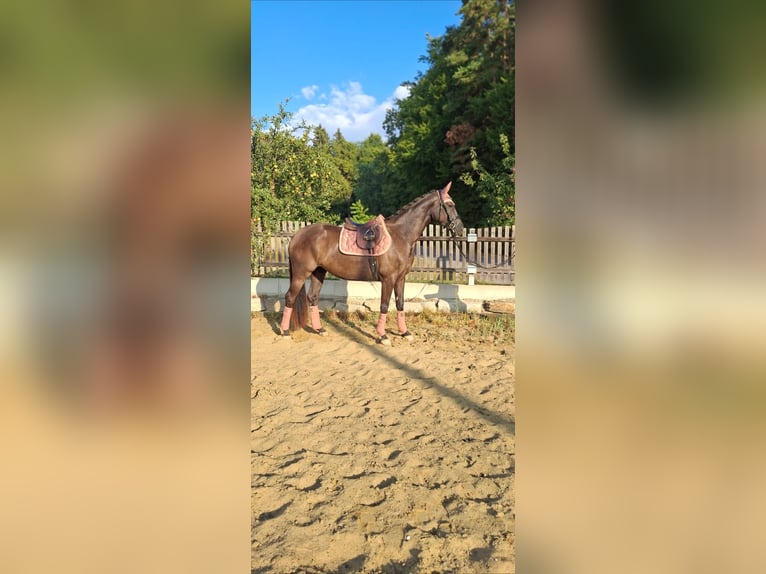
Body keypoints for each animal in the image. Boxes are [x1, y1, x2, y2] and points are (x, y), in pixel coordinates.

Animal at [279, 181, 465, 344]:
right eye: (450, 205)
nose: (460, 229)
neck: (400, 236)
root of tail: (297, 235)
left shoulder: (400, 279)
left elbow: (400, 304)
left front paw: (405, 333)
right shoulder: (388, 279)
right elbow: (384, 305)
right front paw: (382, 336)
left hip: (318, 272)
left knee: (312, 297)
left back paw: (320, 329)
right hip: (301, 274)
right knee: (290, 297)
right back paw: (285, 331)